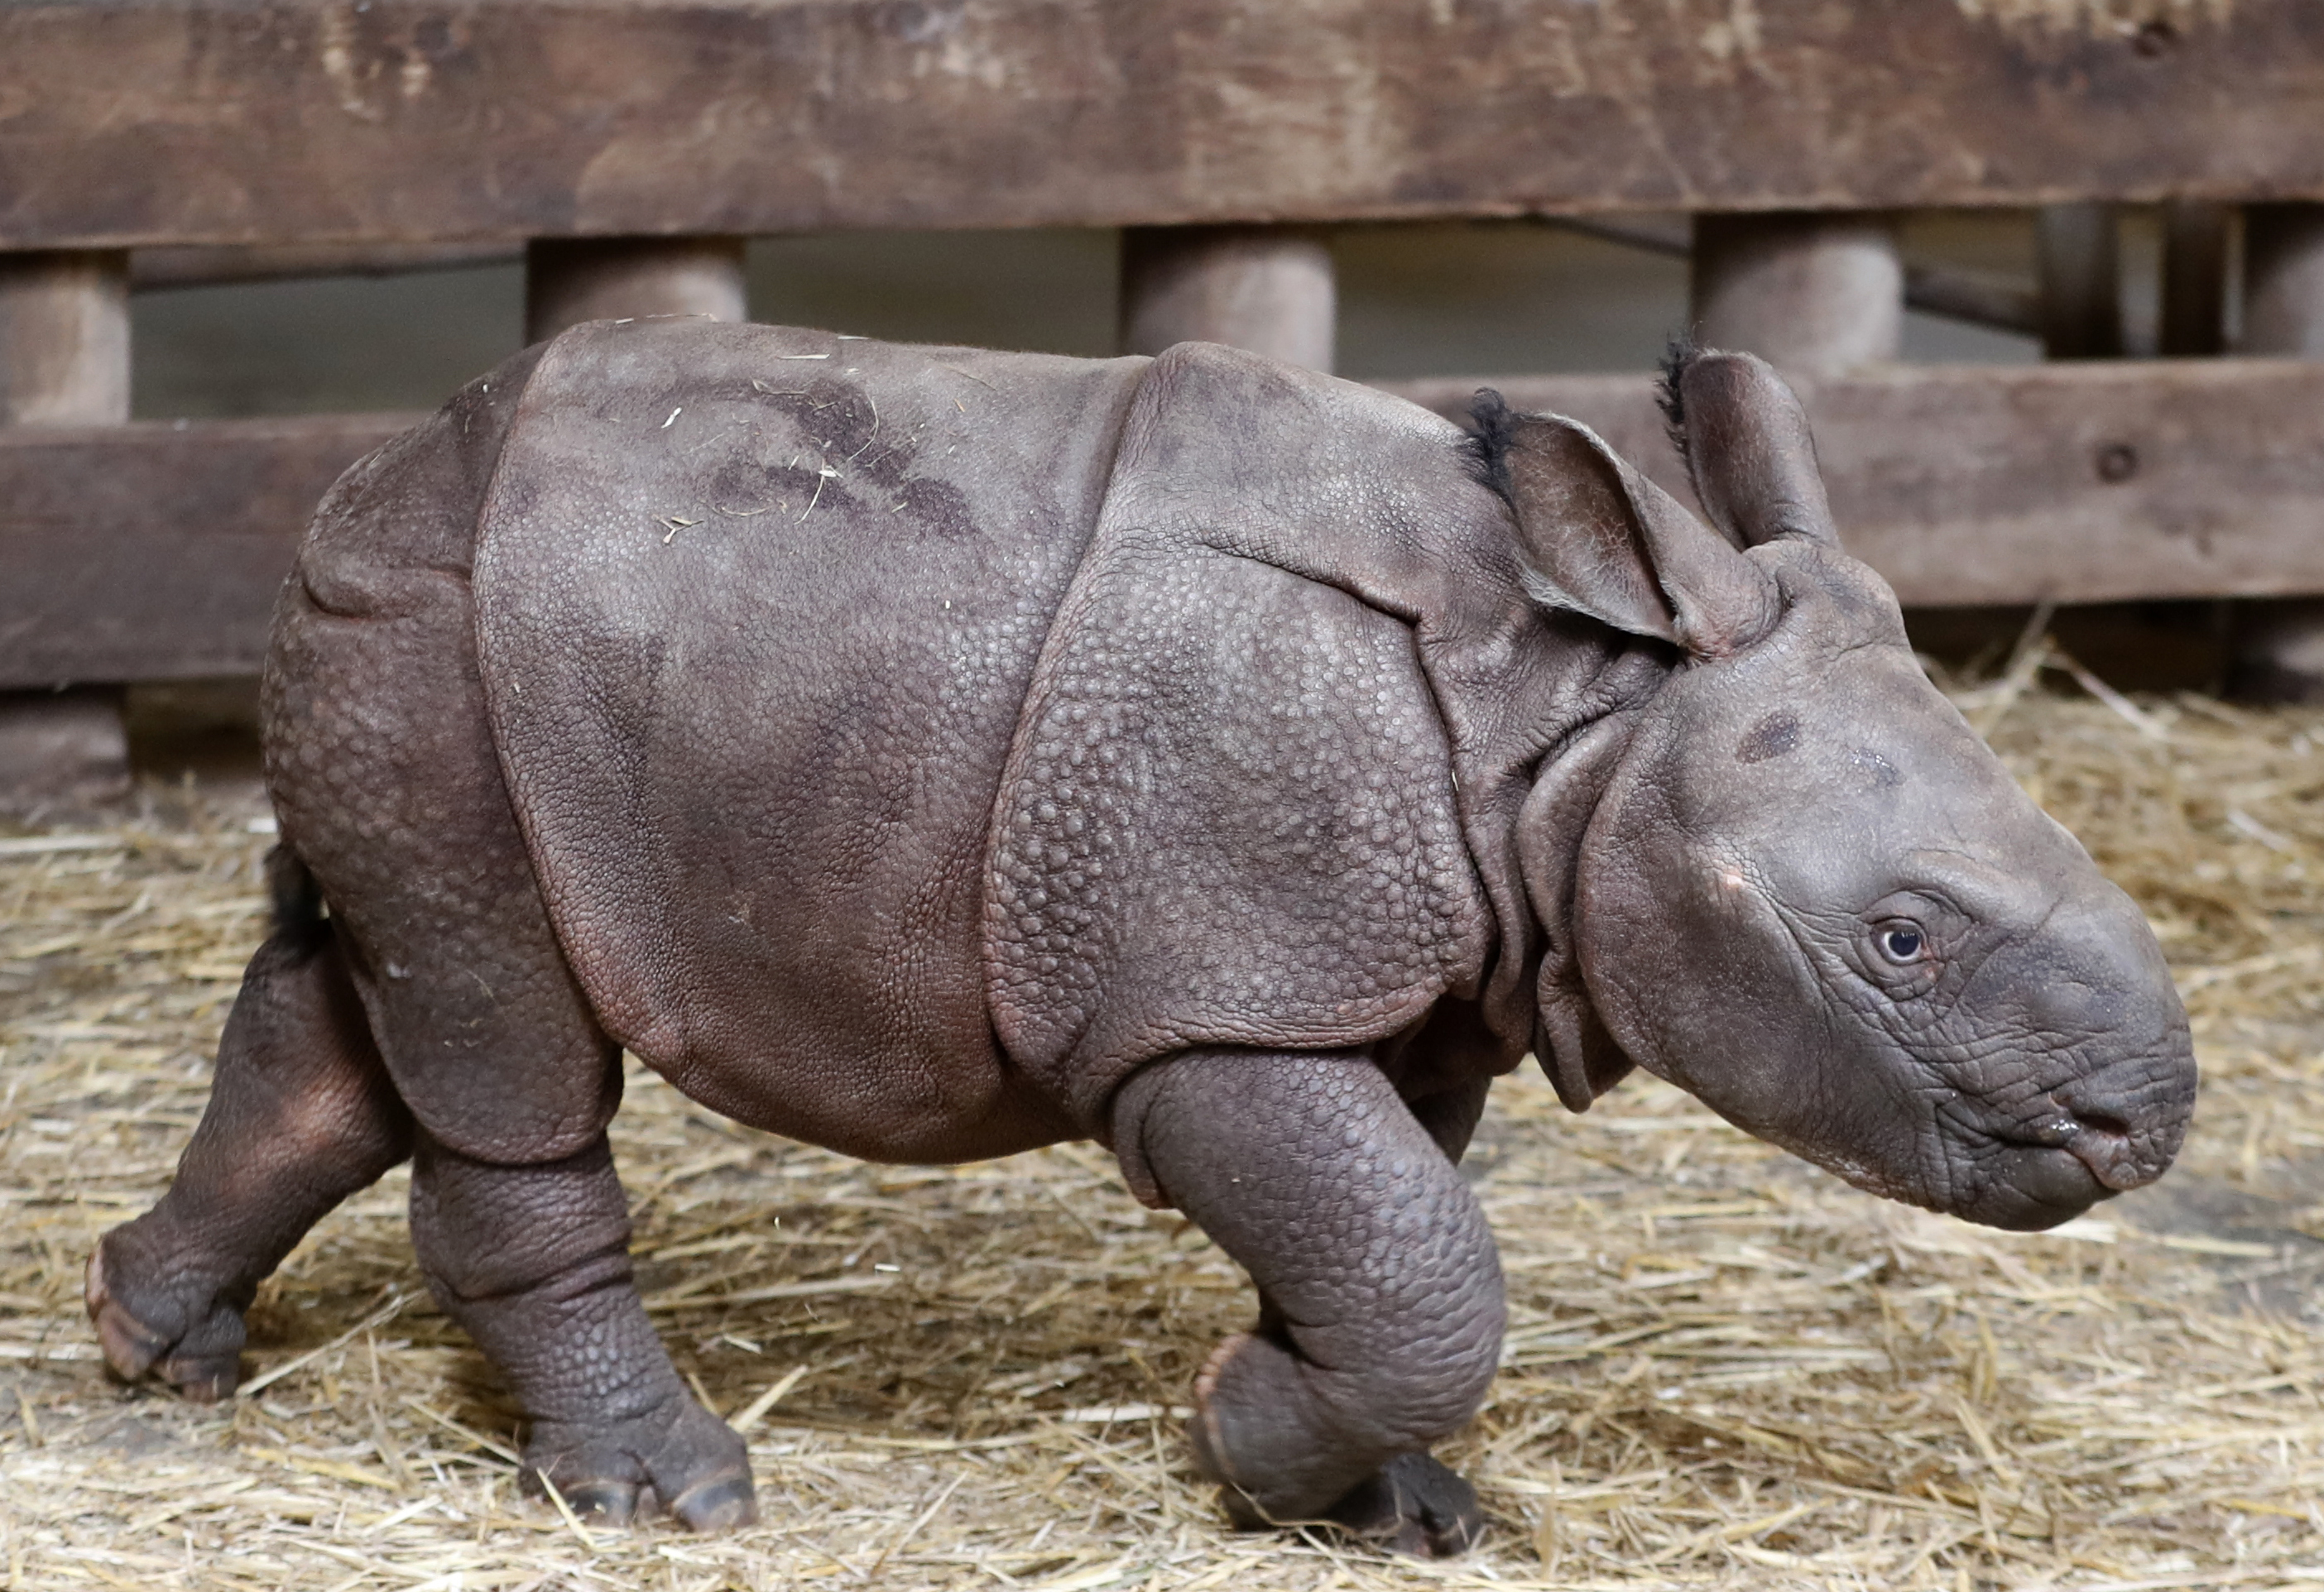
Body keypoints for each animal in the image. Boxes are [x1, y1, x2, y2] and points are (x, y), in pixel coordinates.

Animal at [87, 322, 2195, 1557]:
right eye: (1902, 937)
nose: (2142, 1120)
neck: (1577, 712)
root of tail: (385, 461)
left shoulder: (1394, 978)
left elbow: (1390, 1238)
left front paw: (1382, 1500)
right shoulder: (1205, 1001)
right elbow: (1427, 1268)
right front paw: (1239, 1439)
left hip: (442, 641)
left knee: (366, 996)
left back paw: (157, 1350)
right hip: (442, 635)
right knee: (502, 1026)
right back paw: (667, 1492)